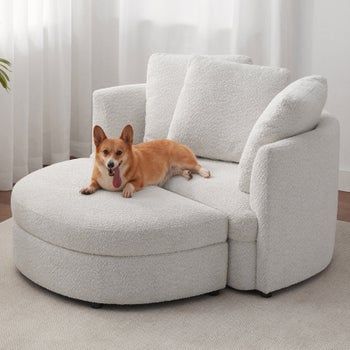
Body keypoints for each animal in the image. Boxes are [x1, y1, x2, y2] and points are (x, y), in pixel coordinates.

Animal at [80, 125, 209, 197]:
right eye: (105, 152)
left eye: (119, 152)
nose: (110, 164)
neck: (111, 178)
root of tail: (176, 142)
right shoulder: (95, 179)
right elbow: (93, 183)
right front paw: (88, 188)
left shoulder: (139, 181)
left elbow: (130, 184)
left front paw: (127, 190)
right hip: (173, 169)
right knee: (180, 171)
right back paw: (187, 174)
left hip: (183, 160)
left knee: (197, 165)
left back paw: (205, 172)